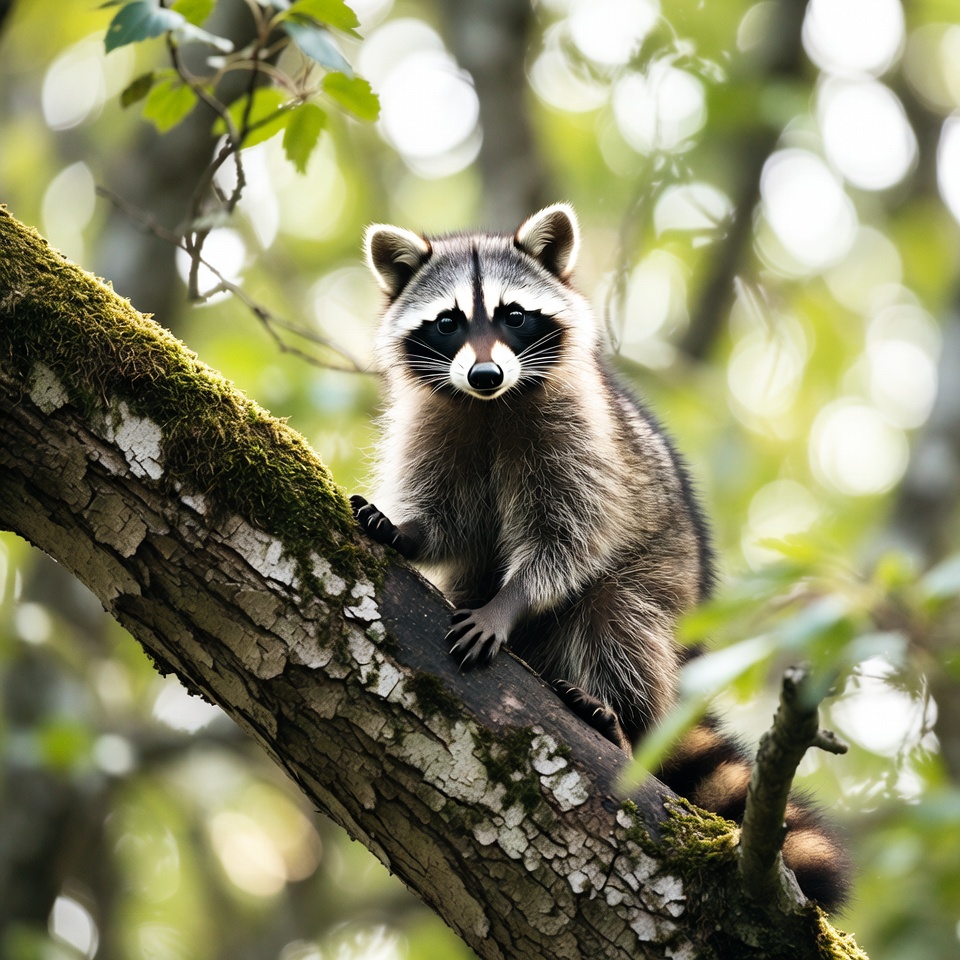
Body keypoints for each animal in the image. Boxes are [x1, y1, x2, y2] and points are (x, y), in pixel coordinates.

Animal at [351, 204, 850, 911]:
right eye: (448, 322)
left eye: (512, 315)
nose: (485, 375)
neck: (490, 407)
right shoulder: (437, 423)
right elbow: (448, 519)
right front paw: (407, 530)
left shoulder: (579, 434)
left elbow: (570, 539)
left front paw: (508, 602)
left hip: (660, 591)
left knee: (617, 619)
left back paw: (620, 724)